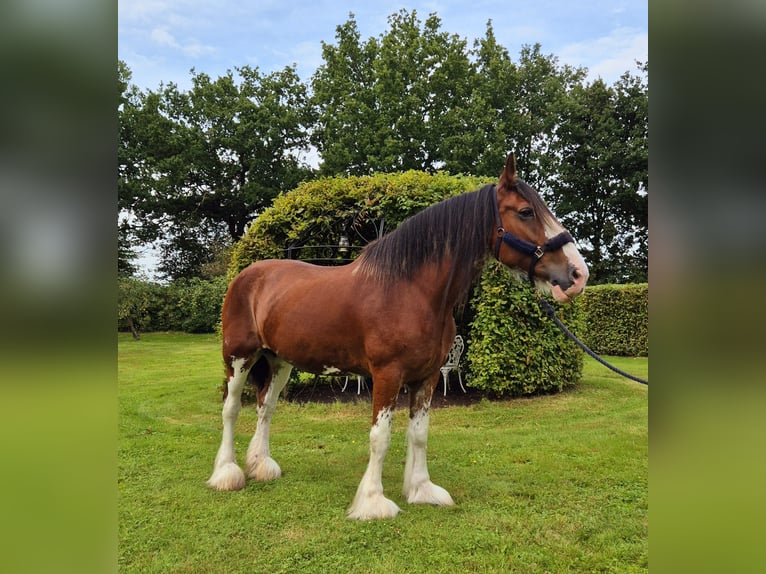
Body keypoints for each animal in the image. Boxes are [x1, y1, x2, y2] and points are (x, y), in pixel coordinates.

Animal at [207, 153, 592, 520]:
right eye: (526, 212)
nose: (578, 274)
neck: (411, 291)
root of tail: (247, 276)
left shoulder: (428, 377)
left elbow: (418, 434)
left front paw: (421, 490)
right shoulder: (387, 375)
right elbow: (381, 437)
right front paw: (373, 502)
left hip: (279, 361)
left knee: (266, 407)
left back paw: (262, 466)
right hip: (238, 357)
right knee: (231, 408)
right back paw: (227, 473)